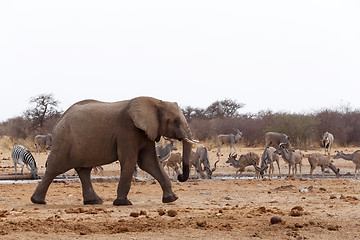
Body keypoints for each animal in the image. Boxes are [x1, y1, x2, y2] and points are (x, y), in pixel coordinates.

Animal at [31, 96, 195, 205]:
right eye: (175, 121)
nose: (180, 176)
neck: (156, 102)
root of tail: (60, 118)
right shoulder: (127, 130)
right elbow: (130, 161)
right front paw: (123, 203)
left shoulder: (146, 132)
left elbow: (149, 163)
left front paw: (171, 198)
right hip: (64, 141)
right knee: (55, 168)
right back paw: (38, 201)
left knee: (84, 171)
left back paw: (95, 201)